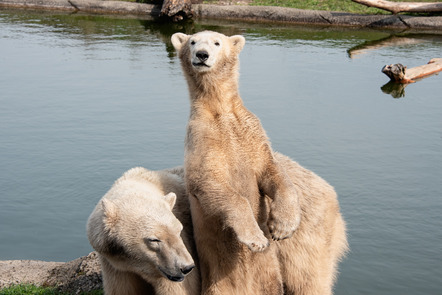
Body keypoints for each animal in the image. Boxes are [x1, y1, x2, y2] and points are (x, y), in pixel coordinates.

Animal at [173, 30, 348, 295]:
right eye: (192, 42)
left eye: (216, 42)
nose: (202, 55)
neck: (220, 111)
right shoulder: (201, 140)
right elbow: (213, 184)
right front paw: (256, 240)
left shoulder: (251, 133)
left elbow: (272, 172)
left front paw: (282, 226)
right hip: (220, 284)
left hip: (273, 276)